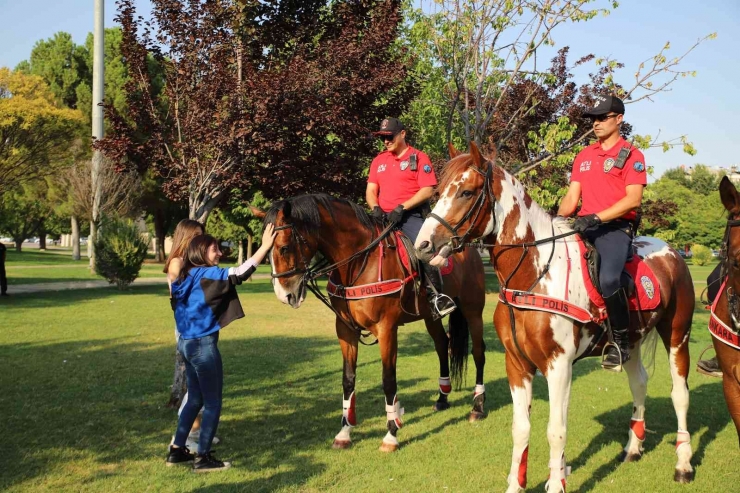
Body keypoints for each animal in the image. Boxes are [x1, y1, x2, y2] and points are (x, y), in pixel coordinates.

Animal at [258, 194, 488, 452]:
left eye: (284, 247)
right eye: (265, 250)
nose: (285, 295)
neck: (358, 262)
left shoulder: (386, 329)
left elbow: (388, 380)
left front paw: (391, 434)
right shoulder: (345, 329)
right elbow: (348, 380)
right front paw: (345, 432)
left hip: (473, 310)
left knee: (478, 351)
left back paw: (478, 406)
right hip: (431, 316)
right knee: (442, 345)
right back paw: (442, 397)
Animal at [416, 142, 692, 492]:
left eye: (466, 192)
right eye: (438, 191)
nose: (423, 245)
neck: (532, 277)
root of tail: (671, 252)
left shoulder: (558, 365)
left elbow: (556, 430)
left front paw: (556, 482)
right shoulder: (517, 364)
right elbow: (521, 428)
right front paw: (518, 484)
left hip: (677, 335)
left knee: (680, 395)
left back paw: (683, 464)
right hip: (630, 340)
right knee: (639, 382)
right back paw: (633, 447)